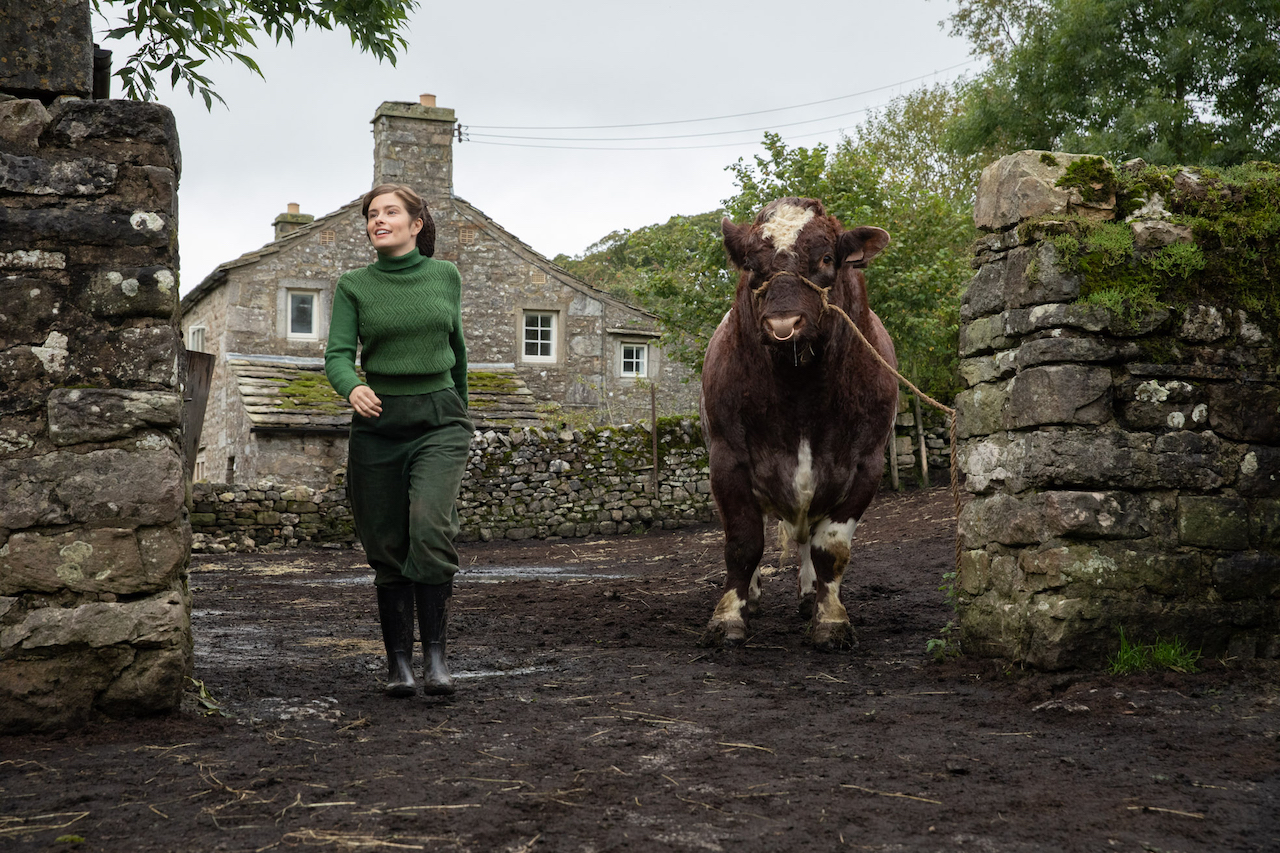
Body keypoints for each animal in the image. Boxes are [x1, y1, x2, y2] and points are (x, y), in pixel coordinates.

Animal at [701, 195, 901, 648]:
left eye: (826, 258)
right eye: (750, 264)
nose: (782, 324)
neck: (801, 389)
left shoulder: (867, 464)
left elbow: (832, 547)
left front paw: (831, 619)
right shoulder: (727, 458)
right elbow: (742, 543)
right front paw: (729, 616)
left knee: (809, 536)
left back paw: (810, 595)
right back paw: (754, 596)